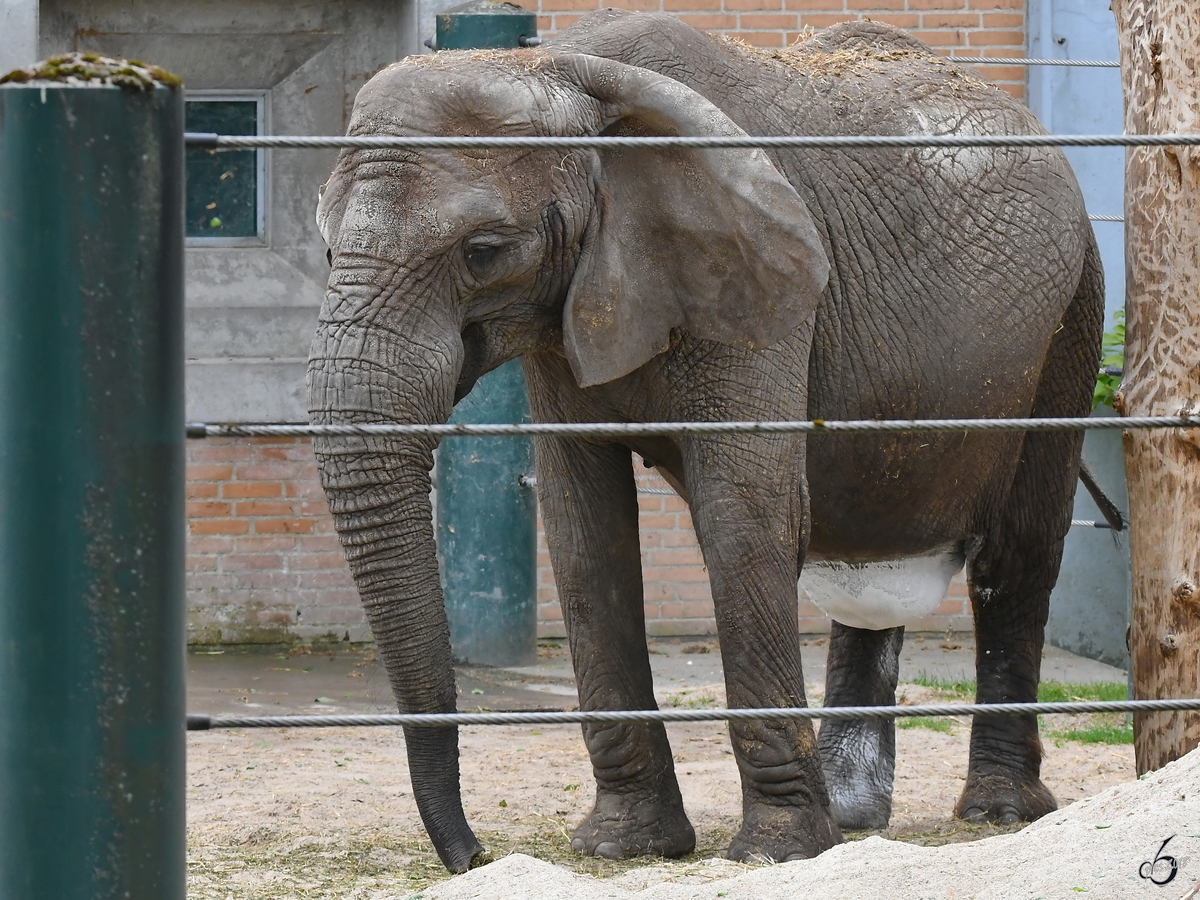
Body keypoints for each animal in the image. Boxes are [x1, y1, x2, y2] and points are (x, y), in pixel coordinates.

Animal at [309, 12, 1104, 873]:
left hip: (1070, 319)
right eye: (328, 249)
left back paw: (994, 811)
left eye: (483, 251)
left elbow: (742, 520)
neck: (568, 71)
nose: (474, 856)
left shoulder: (763, 285)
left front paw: (776, 853)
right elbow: (585, 535)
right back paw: (856, 820)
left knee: (1015, 560)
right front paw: (623, 847)